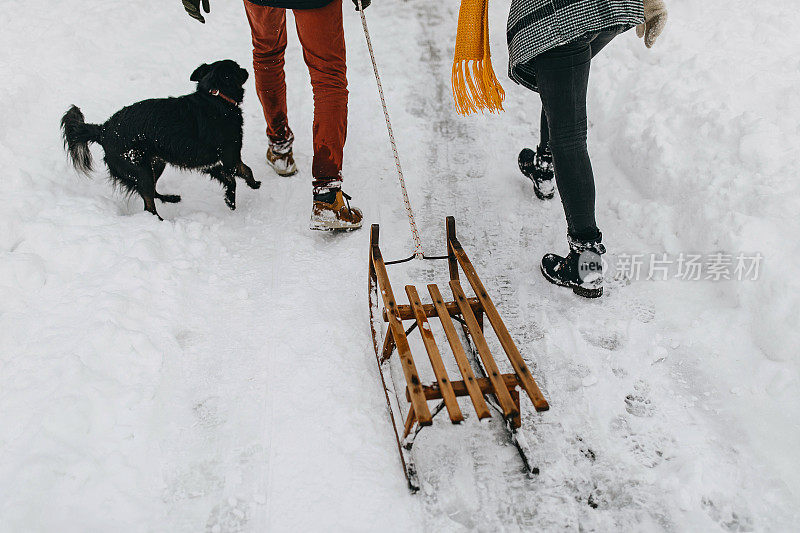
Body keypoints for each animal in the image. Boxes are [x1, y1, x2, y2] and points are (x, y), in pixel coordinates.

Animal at [61, 61, 260, 219]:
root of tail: (103, 129)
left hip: (156, 163)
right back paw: (160, 222)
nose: (245, 69)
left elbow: (233, 178)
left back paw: (170, 198)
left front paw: (234, 197)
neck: (215, 96)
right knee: (148, 206)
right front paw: (250, 187)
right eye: (237, 68)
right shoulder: (229, 157)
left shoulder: (212, 162)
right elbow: (244, 171)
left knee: (152, 193)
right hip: (139, 168)